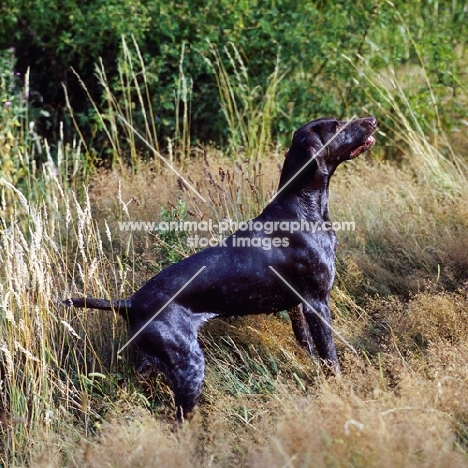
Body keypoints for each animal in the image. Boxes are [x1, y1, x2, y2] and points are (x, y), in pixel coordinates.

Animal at [63, 116, 376, 420]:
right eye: (337, 126)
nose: (372, 119)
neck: (302, 207)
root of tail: (130, 302)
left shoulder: (298, 307)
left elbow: (309, 348)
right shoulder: (317, 303)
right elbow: (330, 357)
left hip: (151, 363)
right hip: (189, 367)